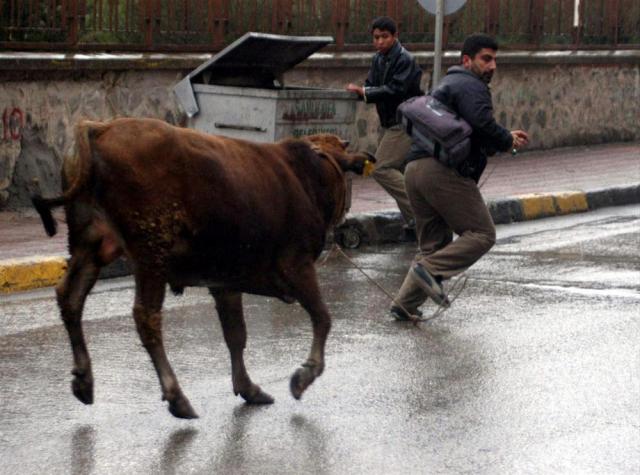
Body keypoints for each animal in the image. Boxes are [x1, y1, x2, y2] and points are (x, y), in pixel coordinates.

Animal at [33, 117, 376, 418]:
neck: (306, 173)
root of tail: (99, 128)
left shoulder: (225, 281)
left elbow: (236, 334)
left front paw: (249, 388)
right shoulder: (298, 266)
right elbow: (322, 317)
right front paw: (303, 377)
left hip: (89, 247)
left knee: (70, 298)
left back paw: (84, 380)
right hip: (150, 256)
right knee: (146, 318)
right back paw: (177, 397)